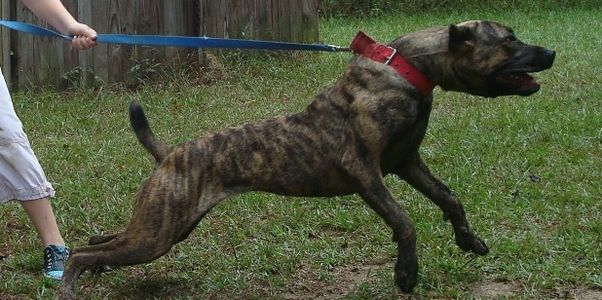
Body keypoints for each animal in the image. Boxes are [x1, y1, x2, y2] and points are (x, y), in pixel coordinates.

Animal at [58, 20, 552, 298]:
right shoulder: (366, 172)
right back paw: (69, 286)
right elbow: (405, 221)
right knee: (81, 253)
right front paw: (406, 273)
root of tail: (172, 154)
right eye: (508, 41)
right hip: (158, 234)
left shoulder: (407, 163)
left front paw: (470, 241)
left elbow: (449, 198)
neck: (408, 70)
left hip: (167, 226)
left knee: (100, 242)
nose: (550, 52)